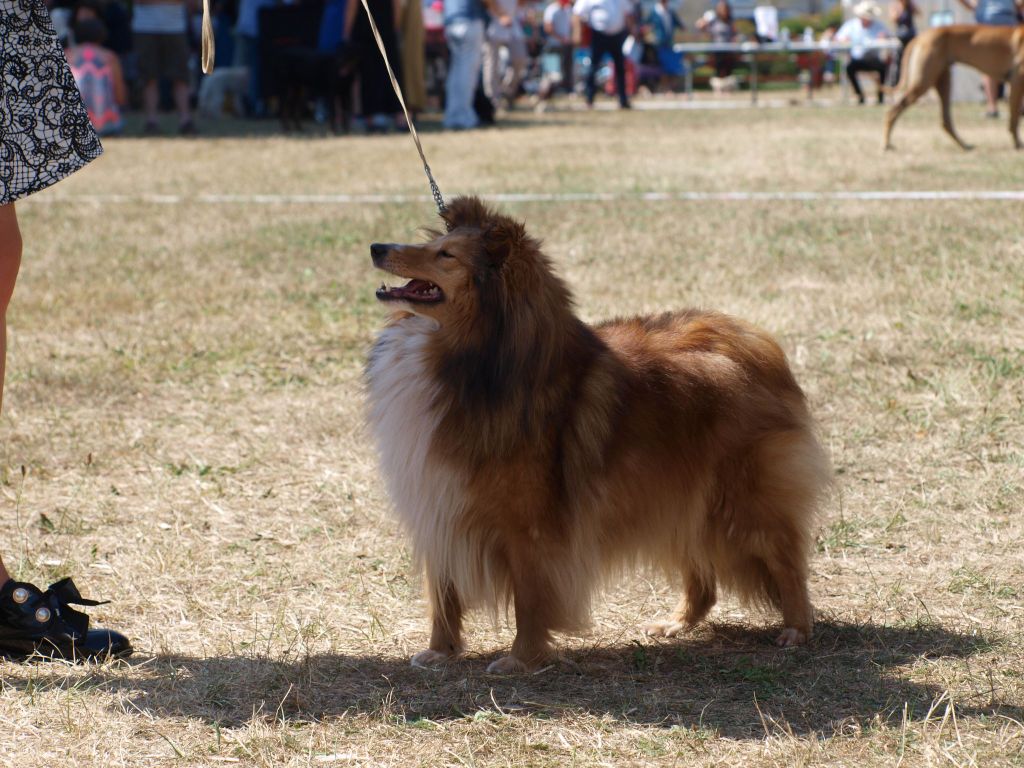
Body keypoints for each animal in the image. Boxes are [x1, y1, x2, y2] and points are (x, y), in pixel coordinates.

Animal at [884, 24, 1024, 151]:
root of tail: (920, 37)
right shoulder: (1017, 82)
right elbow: (1014, 119)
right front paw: (1018, 144)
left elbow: (1016, 116)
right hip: (923, 83)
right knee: (892, 111)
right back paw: (886, 144)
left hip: (943, 81)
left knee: (946, 121)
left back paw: (964, 145)